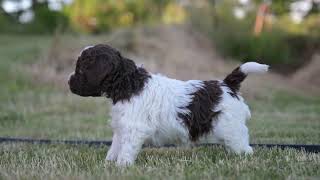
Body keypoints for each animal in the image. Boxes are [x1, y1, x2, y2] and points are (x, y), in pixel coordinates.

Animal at [69, 44, 268, 167]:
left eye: (81, 69)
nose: (68, 82)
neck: (128, 83)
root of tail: (227, 85)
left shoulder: (134, 130)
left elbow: (126, 150)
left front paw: (122, 166)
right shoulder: (122, 128)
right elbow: (115, 147)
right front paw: (109, 164)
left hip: (232, 129)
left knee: (244, 147)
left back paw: (244, 158)